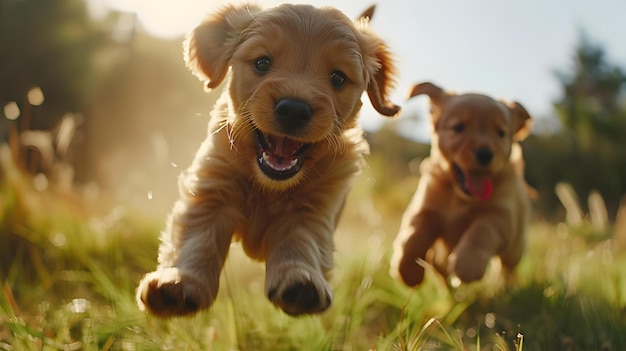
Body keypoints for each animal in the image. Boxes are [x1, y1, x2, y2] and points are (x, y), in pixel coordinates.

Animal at [136, 2, 400, 318]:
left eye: (337, 78)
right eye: (262, 63)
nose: (294, 109)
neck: (269, 185)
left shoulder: (315, 208)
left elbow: (300, 241)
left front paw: (301, 283)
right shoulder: (213, 187)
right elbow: (197, 237)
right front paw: (178, 283)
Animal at [390, 83, 532, 288]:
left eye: (501, 133)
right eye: (458, 127)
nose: (485, 154)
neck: (459, 196)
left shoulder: (499, 217)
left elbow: (479, 233)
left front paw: (466, 266)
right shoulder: (424, 209)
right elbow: (412, 237)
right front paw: (408, 271)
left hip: (515, 245)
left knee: (506, 268)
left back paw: (504, 285)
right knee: (440, 270)